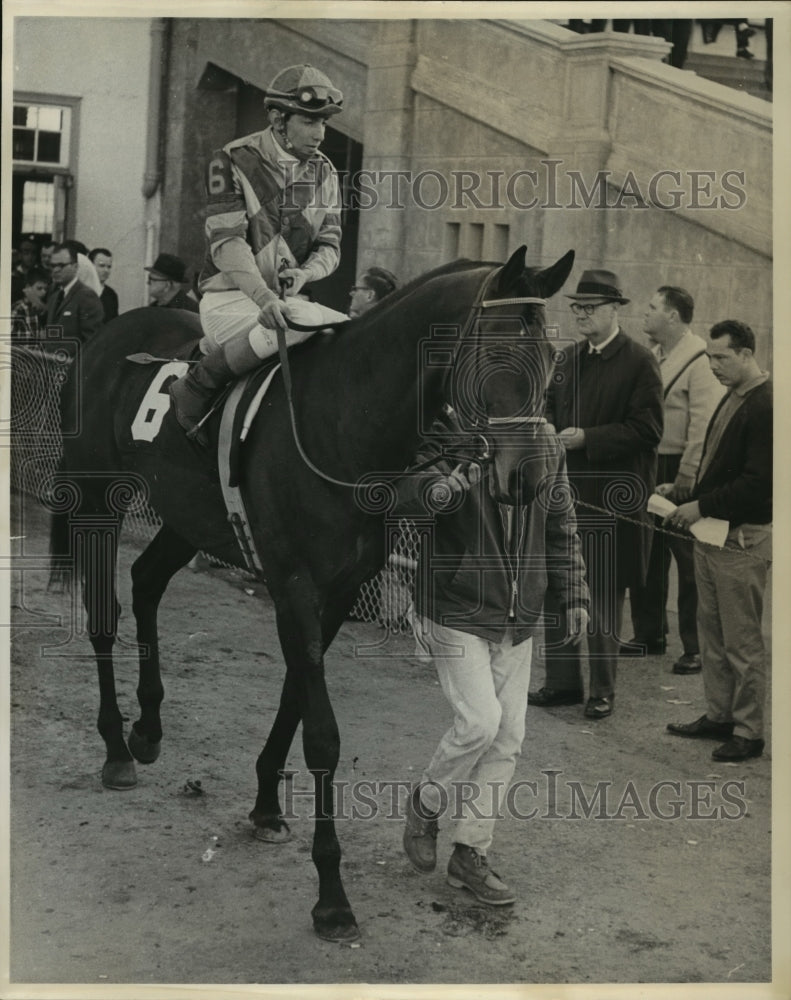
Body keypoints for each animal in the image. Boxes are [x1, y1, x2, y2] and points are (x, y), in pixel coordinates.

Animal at [49, 246, 572, 940]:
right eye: (498, 352)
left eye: (554, 358)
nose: (533, 475)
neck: (343, 419)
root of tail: (112, 331)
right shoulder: (295, 585)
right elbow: (322, 732)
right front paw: (331, 896)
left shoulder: (338, 591)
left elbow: (295, 696)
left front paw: (267, 804)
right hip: (95, 497)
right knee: (104, 615)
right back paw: (115, 748)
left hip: (188, 515)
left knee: (146, 582)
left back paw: (149, 728)